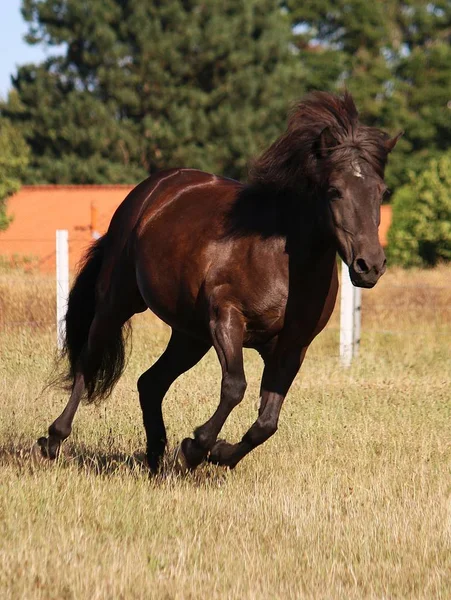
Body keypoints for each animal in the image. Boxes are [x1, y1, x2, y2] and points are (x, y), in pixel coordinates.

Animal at [34, 91, 402, 472]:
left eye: (381, 191)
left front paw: (218, 453)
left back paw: (156, 458)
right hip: (117, 302)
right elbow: (235, 387)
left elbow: (267, 422)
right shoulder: (227, 319)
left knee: (150, 382)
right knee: (88, 360)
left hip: (190, 335)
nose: (370, 266)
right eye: (334, 190)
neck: (280, 261)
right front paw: (196, 446)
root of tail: (149, 192)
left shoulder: (292, 347)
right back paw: (53, 440)